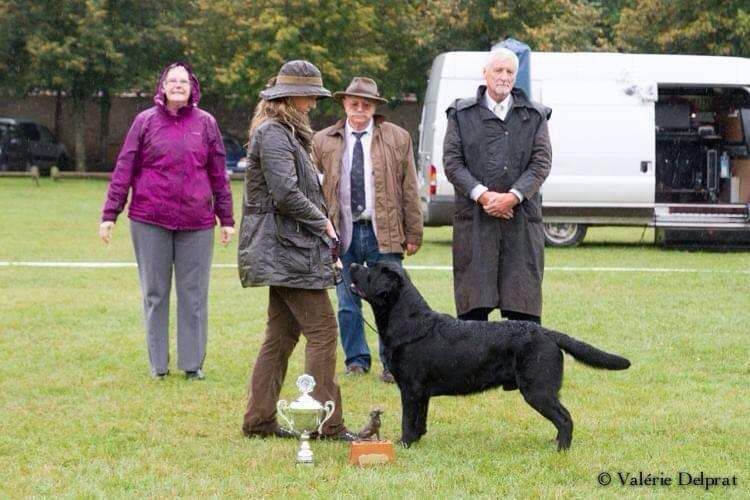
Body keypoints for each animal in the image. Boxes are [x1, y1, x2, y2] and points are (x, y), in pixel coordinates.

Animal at [350, 262, 632, 450]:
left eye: (369, 269)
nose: (351, 263)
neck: (408, 322)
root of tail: (547, 333)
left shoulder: (410, 388)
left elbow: (407, 420)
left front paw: (404, 444)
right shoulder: (422, 393)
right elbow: (421, 420)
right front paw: (417, 440)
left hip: (537, 390)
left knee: (565, 418)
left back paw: (561, 448)